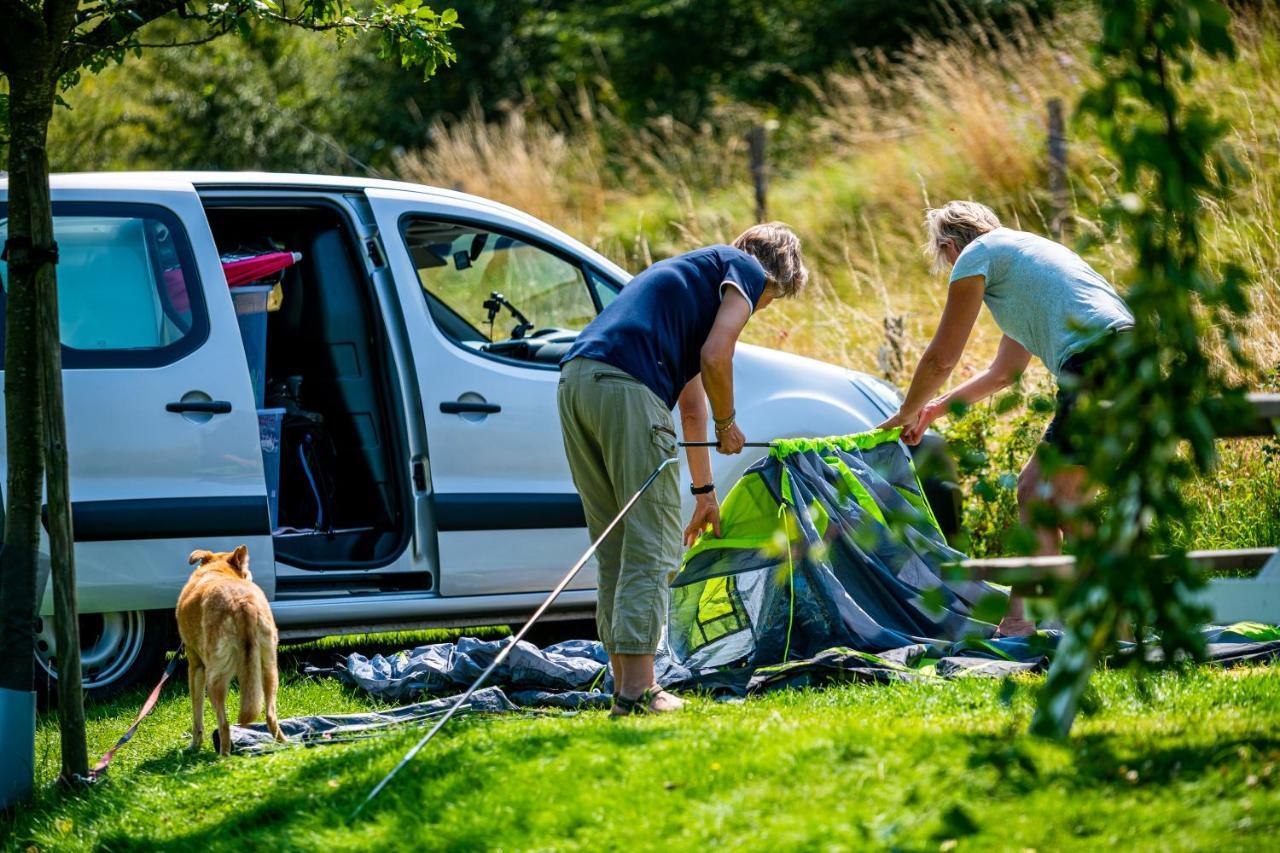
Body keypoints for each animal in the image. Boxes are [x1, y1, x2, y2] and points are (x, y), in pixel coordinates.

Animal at [175, 545, 282, 753]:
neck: (217, 570)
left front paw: (194, 745)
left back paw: (223, 756)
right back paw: (287, 745)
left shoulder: (196, 667)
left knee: (224, 725)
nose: (250, 577)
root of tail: (242, 602)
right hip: (269, 670)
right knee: (270, 716)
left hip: (214, 679)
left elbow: (197, 713)